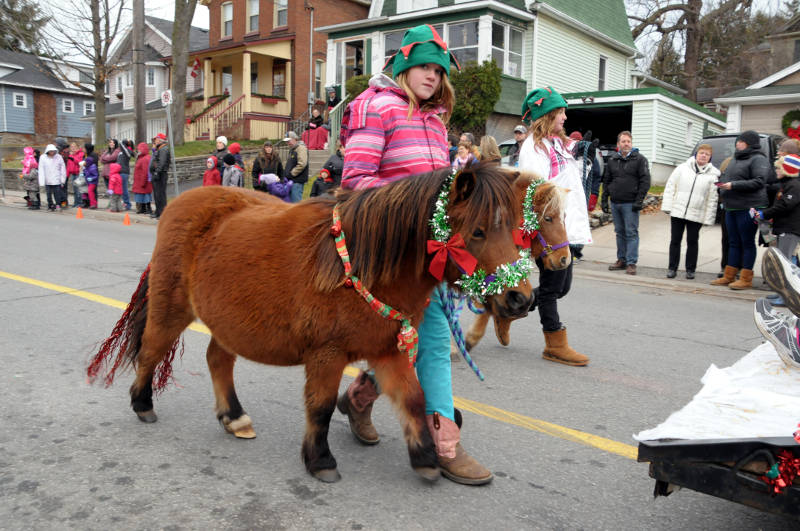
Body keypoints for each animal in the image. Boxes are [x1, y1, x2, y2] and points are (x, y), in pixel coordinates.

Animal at [86, 163, 565, 484]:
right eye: (478, 231)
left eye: (519, 230)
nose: (520, 298)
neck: (358, 263)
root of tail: (180, 203)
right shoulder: (327, 354)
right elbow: (318, 406)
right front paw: (320, 460)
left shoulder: (389, 350)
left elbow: (413, 399)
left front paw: (427, 457)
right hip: (172, 308)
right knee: (151, 349)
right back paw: (143, 403)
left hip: (229, 320)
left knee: (217, 359)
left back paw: (234, 418)